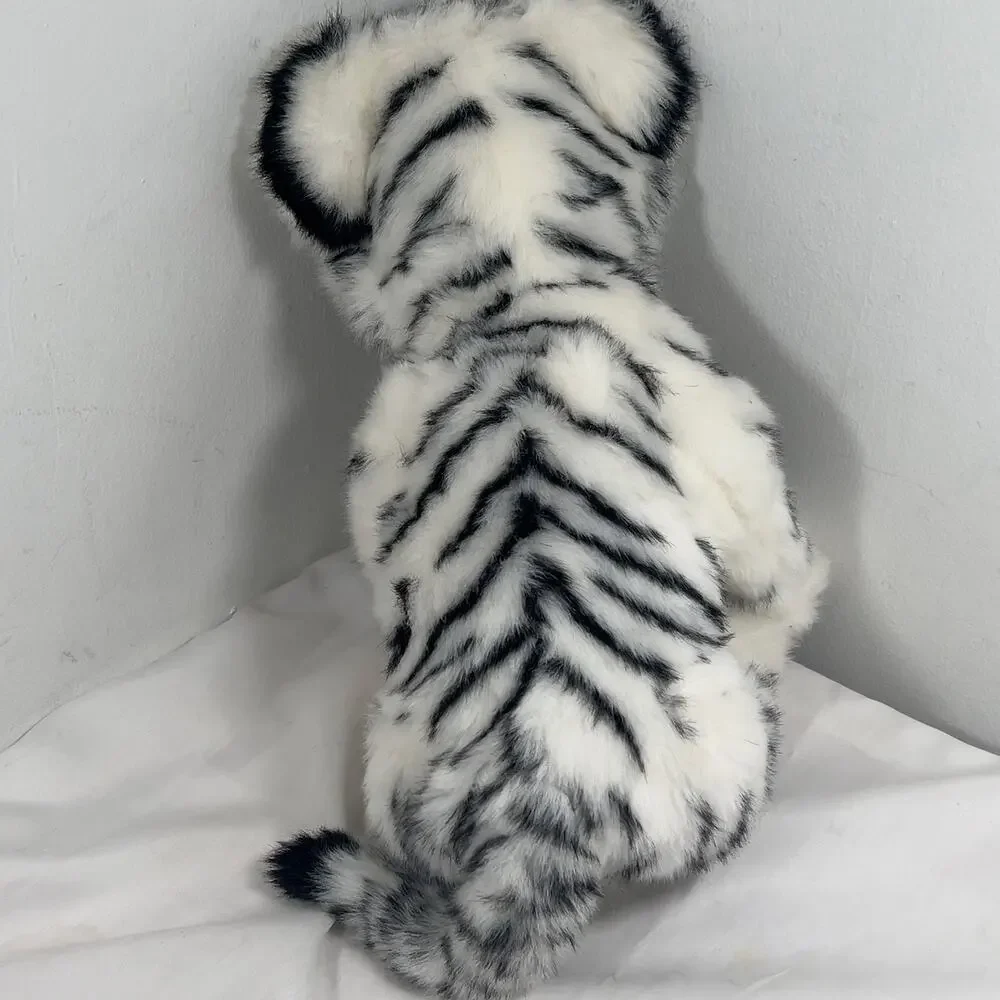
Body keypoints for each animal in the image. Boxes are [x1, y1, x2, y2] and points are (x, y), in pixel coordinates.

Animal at [252, 1, 828, 997]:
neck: (512, 280)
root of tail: (536, 825)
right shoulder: (742, 454)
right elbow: (783, 578)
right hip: (735, 749)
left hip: (392, 762)